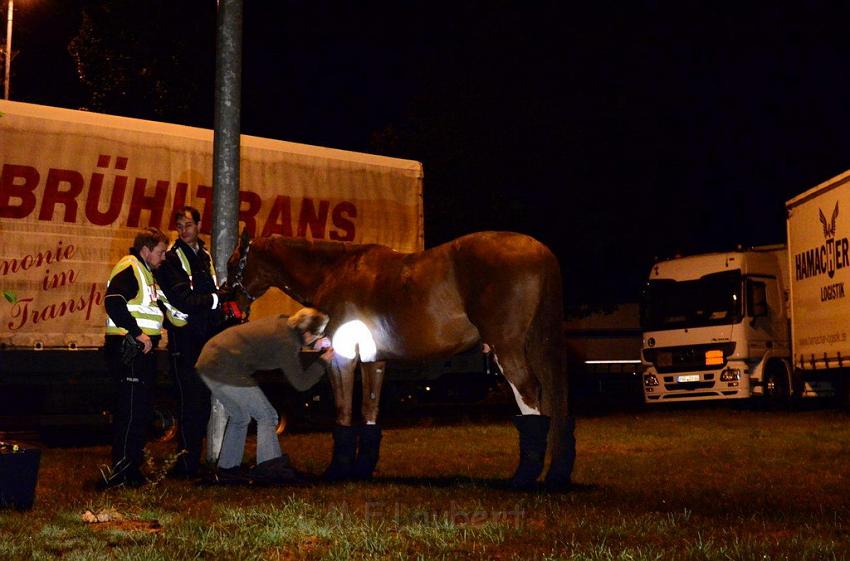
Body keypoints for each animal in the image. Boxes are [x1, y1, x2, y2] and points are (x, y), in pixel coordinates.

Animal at [225, 230, 572, 488]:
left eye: (232, 263)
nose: (230, 303)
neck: (335, 270)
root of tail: (539, 250)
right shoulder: (374, 360)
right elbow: (369, 411)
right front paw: (361, 470)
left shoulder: (341, 357)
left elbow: (343, 411)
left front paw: (337, 471)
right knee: (553, 400)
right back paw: (554, 475)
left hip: (506, 347)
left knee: (530, 394)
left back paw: (524, 477)